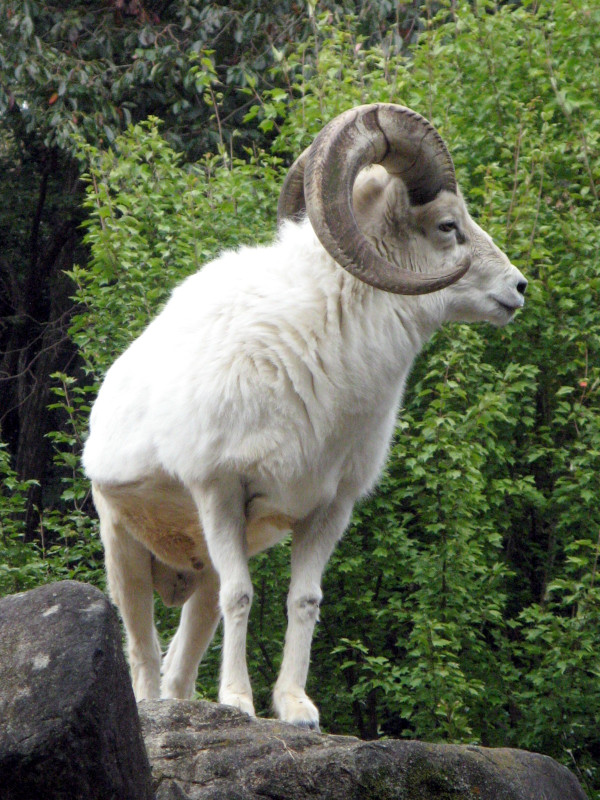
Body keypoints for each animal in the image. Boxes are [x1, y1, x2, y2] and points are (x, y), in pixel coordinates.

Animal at [83, 103, 527, 731]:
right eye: (447, 226)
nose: (518, 289)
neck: (317, 354)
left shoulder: (326, 510)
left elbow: (304, 601)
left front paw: (296, 709)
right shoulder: (221, 493)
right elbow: (244, 597)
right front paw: (239, 703)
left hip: (200, 567)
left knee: (179, 669)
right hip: (124, 550)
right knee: (146, 659)